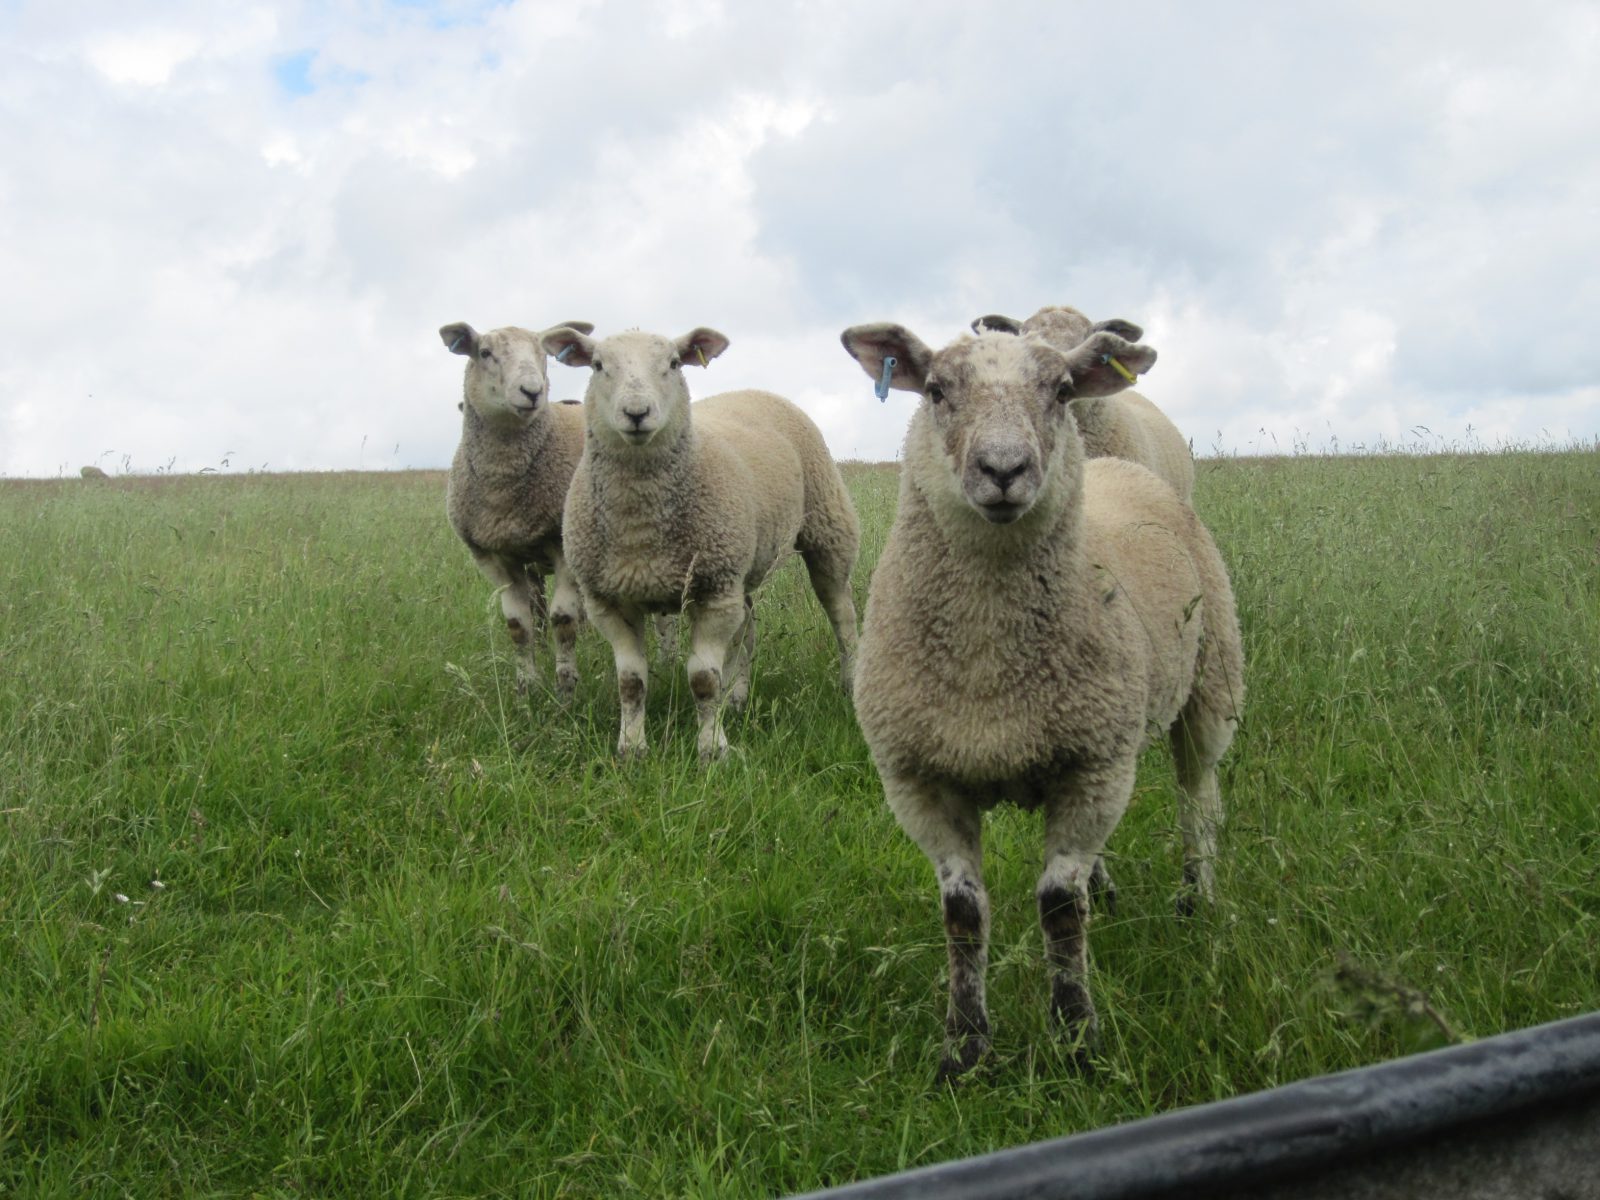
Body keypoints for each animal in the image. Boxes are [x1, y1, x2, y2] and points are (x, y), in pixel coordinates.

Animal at [440, 319, 595, 701]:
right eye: (484, 352)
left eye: (544, 354)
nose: (532, 392)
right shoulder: (497, 558)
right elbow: (519, 626)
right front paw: (527, 691)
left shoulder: (562, 548)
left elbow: (563, 620)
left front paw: (566, 691)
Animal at [541, 325, 861, 763]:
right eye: (597, 365)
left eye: (675, 363)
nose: (637, 413)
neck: (641, 530)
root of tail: (752, 390)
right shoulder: (609, 600)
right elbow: (630, 681)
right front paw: (631, 748)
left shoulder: (712, 594)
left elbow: (703, 680)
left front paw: (712, 750)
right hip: (738, 566)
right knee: (747, 631)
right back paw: (738, 698)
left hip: (826, 531)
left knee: (842, 618)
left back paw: (849, 685)